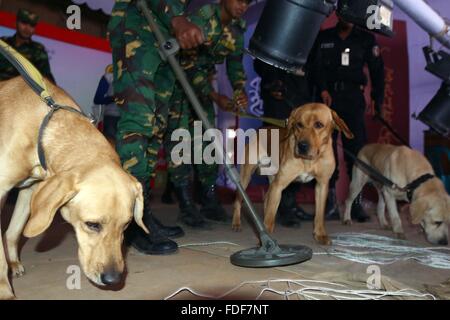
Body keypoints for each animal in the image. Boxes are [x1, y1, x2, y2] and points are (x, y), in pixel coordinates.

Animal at [0, 76, 149, 298]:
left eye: (126, 225)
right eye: (92, 224)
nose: (113, 279)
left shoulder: (30, 191)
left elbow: (14, 231)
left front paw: (11, 263)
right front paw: (5, 291)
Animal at [232, 104, 356, 244]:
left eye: (319, 124)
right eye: (299, 124)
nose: (302, 145)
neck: (309, 160)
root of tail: (261, 130)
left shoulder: (322, 185)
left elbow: (319, 215)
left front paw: (320, 234)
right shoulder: (279, 185)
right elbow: (270, 216)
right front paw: (266, 239)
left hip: (272, 179)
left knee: (266, 198)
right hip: (246, 176)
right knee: (238, 200)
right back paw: (236, 223)